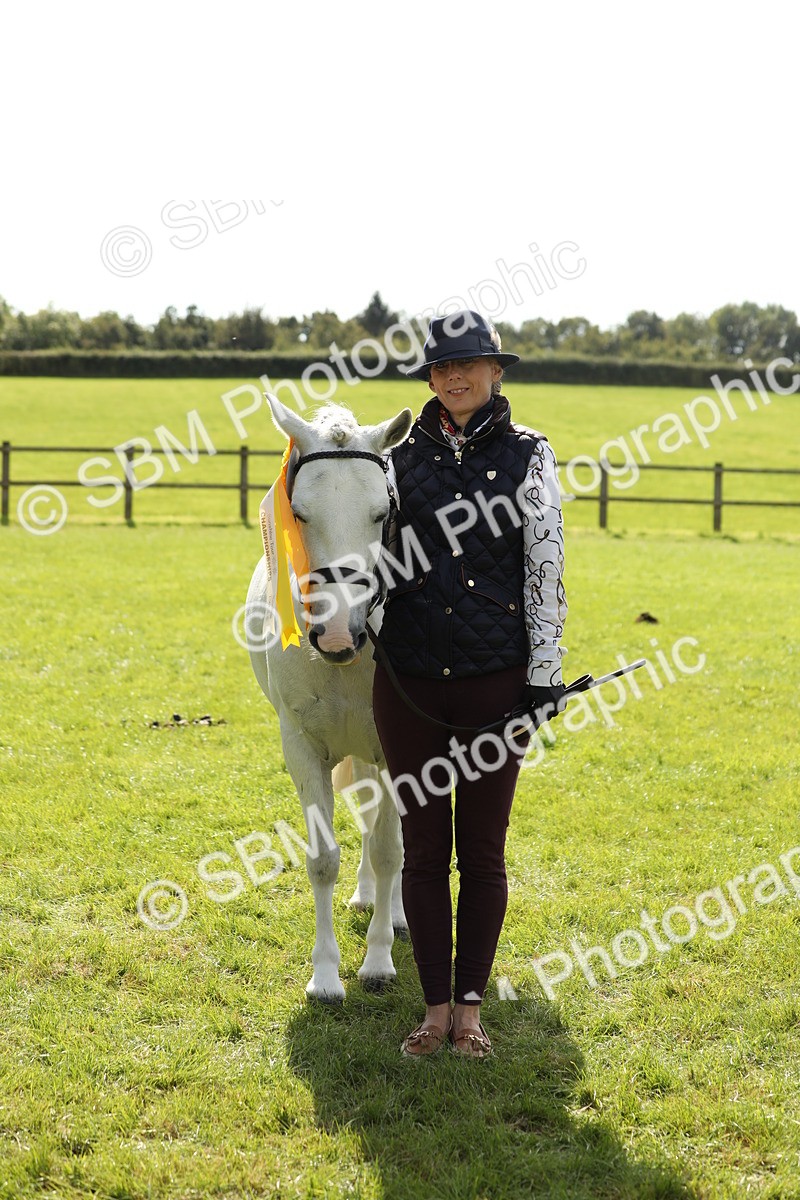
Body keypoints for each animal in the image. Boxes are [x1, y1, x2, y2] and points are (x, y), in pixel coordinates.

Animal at [245, 393, 413, 1002]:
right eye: (299, 513)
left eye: (381, 514)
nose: (339, 634)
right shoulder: (302, 746)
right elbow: (322, 859)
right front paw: (324, 976)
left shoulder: (392, 748)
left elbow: (389, 851)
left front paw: (378, 962)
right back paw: (367, 898)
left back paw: (395, 915)